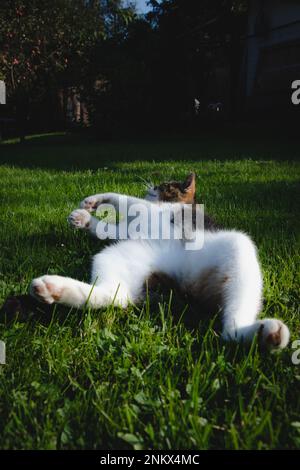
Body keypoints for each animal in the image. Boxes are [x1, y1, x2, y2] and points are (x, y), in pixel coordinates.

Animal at [28, 174, 290, 350]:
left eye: (164, 185)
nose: (150, 186)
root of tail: (180, 280)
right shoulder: (127, 231)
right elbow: (108, 229)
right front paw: (83, 218)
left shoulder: (146, 208)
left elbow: (122, 198)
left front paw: (93, 201)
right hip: (121, 256)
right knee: (116, 296)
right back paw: (53, 289)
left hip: (238, 245)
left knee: (231, 329)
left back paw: (264, 334)